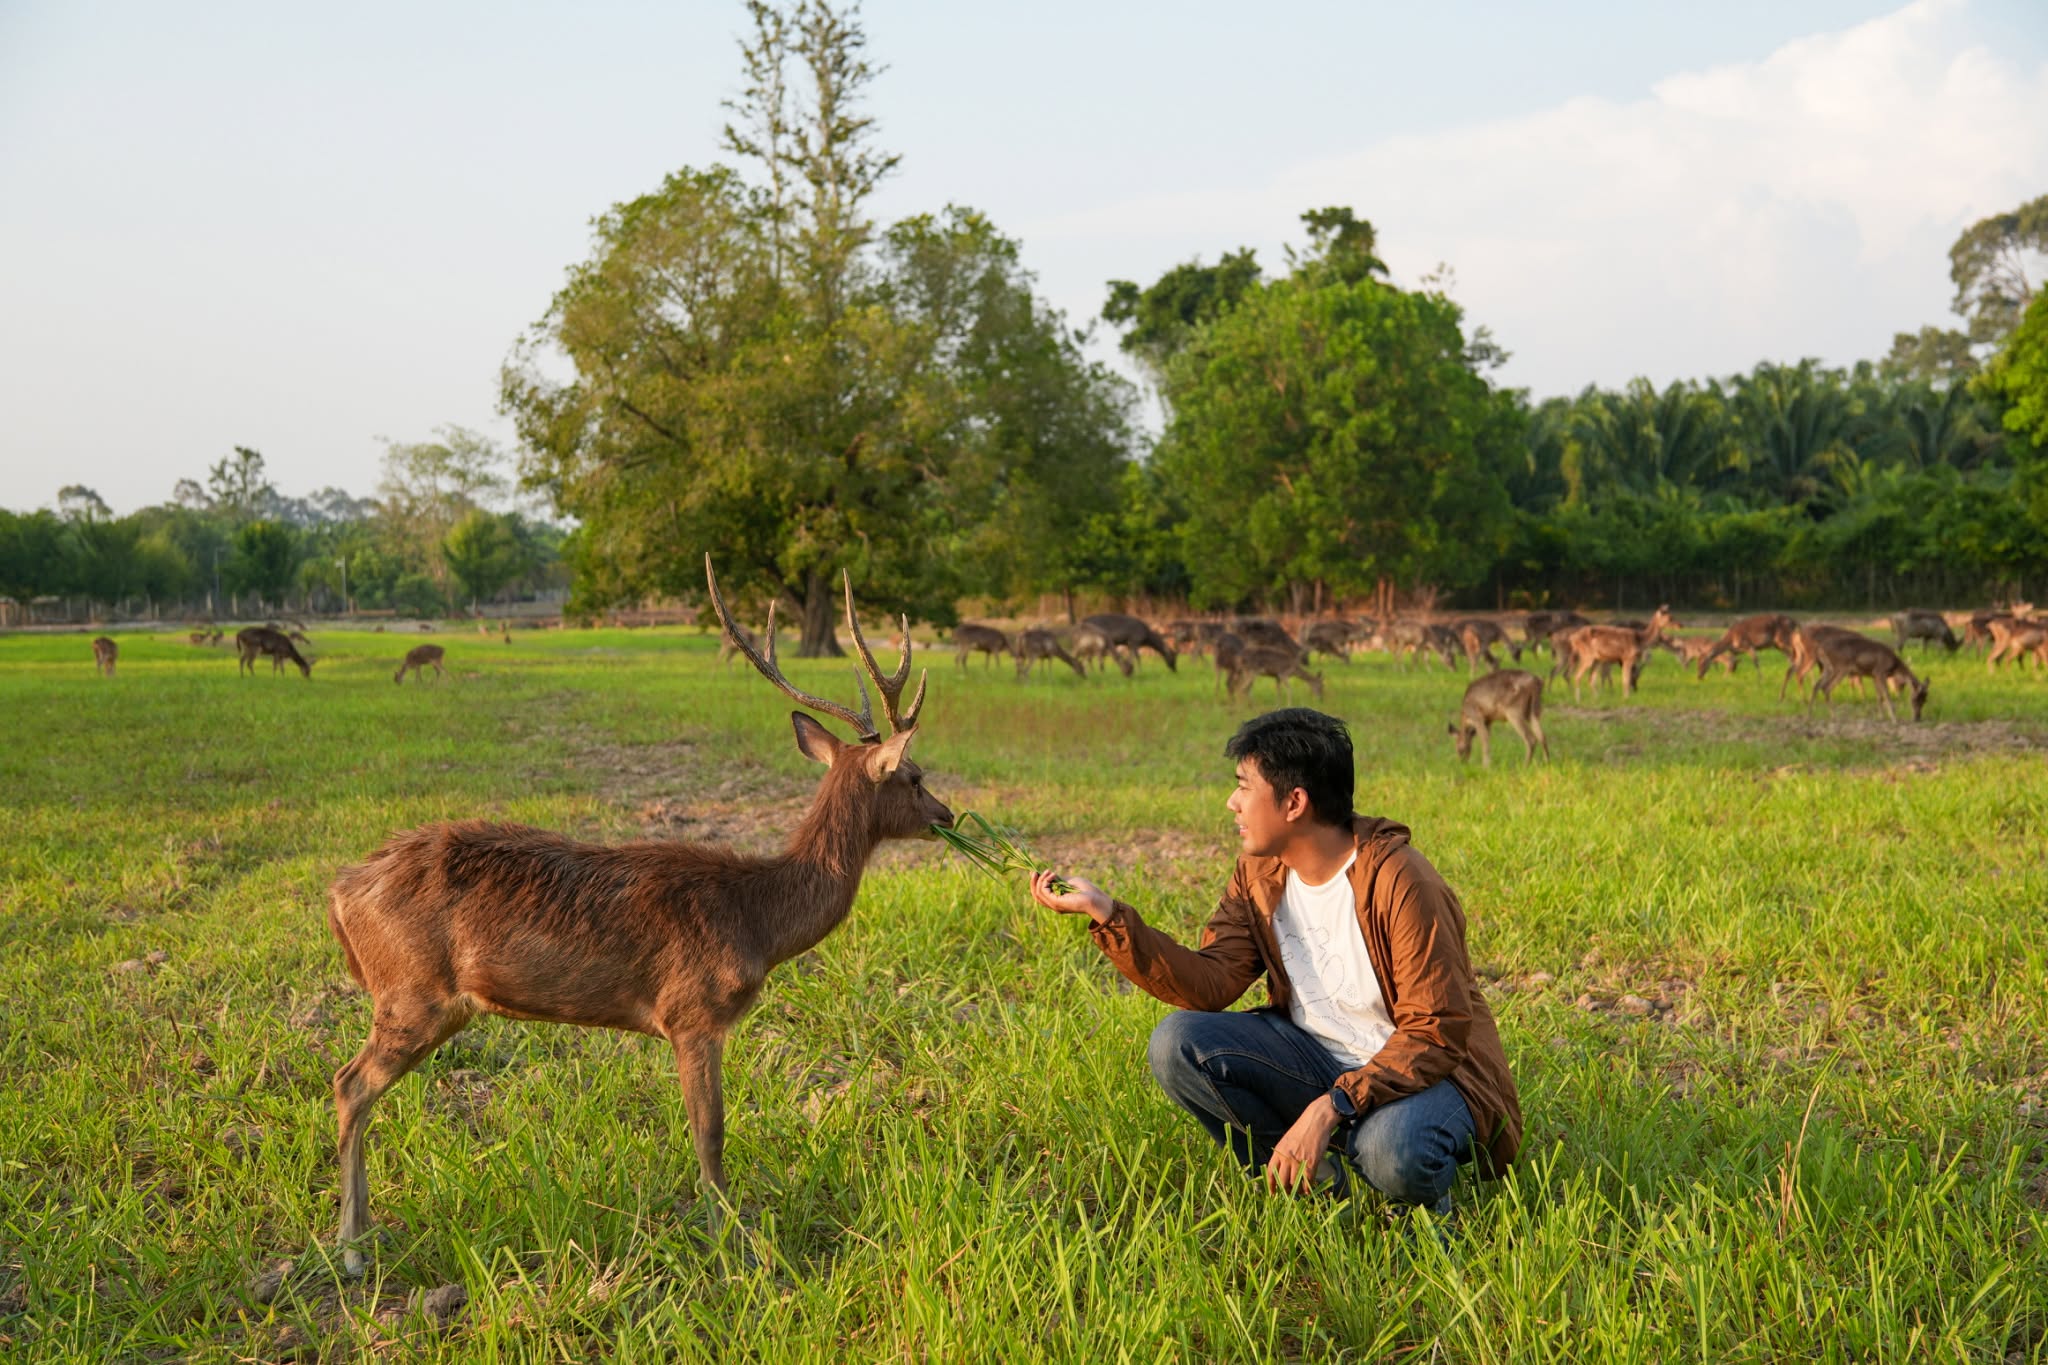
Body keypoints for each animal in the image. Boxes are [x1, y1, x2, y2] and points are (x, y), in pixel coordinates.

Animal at [325, 558, 952, 1275]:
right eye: (915, 775)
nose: (948, 814)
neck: (757, 918)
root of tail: (340, 892)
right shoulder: (693, 1010)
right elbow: (711, 1134)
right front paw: (733, 1251)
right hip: (412, 992)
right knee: (349, 1084)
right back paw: (352, 1250)